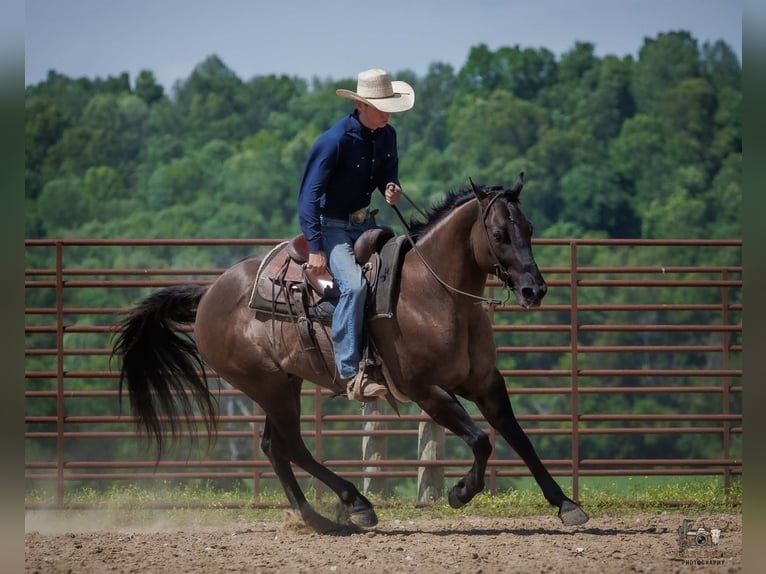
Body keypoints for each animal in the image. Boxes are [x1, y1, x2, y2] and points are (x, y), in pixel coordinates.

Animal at [113, 173, 589, 531]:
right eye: (498, 233)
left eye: (529, 229)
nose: (534, 289)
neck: (433, 293)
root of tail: (209, 292)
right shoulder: (426, 391)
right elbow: (481, 440)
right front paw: (459, 492)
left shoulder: (486, 383)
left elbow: (515, 435)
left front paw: (566, 503)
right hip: (268, 387)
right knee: (291, 445)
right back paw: (355, 503)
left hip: (281, 384)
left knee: (275, 447)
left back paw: (318, 518)